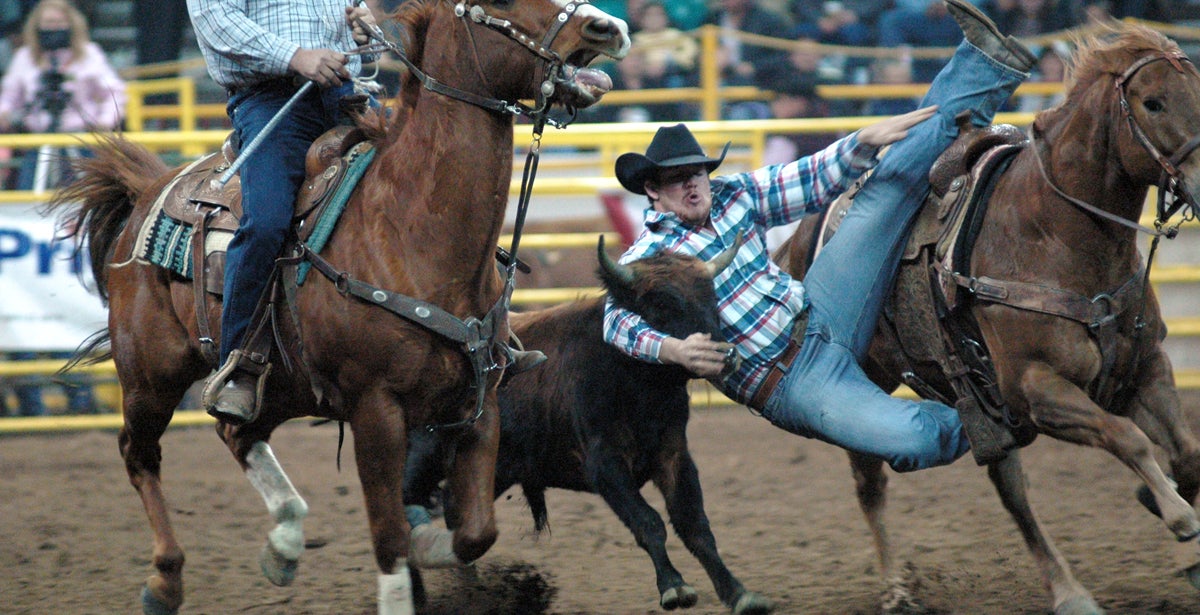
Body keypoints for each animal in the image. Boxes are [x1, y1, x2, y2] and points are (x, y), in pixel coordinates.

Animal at [45, 2, 628, 612]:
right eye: (501, 5)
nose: (606, 28)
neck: (411, 229)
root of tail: (148, 191)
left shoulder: (479, 401)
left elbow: (475, 531)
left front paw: (430, 542)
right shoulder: (376, 408)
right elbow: (389, 538)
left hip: (278, 383)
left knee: (237, 433)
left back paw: (283, 543)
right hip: (150, 375)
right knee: (139, 453)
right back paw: (165, 579)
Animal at [777, 25, 1200, 615]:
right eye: (1153, 102)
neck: (1054, 235)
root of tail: (802, 236)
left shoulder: (1144, 368)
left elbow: (1186, 452)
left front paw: (1164, 507)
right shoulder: (1034, 389)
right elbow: (1129, 437)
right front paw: (1178, 514)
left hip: (981, 405)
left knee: (1009, 488)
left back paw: (1067, 590)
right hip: (857, 385)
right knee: (871, 483)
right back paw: (897, 588)